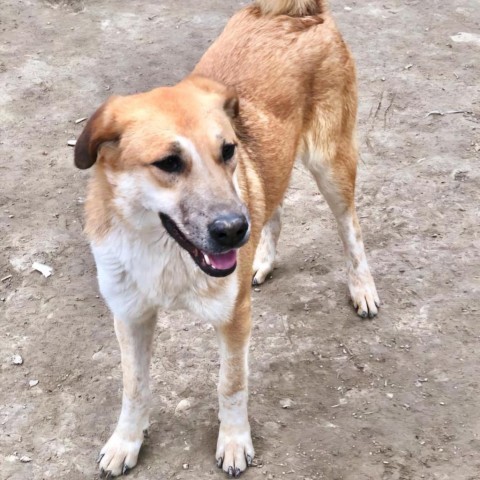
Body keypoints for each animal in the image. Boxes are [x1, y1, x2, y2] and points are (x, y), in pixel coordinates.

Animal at [74, 0, 378, 476]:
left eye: (228, 150)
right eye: (168, 163)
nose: (235, 230)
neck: (165, 254)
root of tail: (296, 13)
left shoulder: (235, 318)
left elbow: (231, 383)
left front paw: (234, 442)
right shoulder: (129, 315)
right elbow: (134, 386)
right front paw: (126, 441)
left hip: (331, 164)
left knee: (352, 231)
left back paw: (362, 288)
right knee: (273, 207)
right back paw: (263, 260)